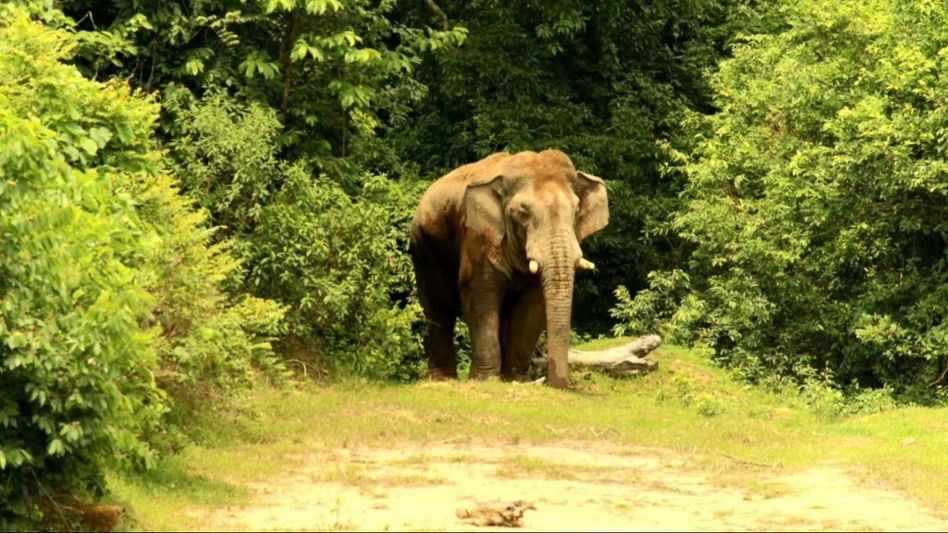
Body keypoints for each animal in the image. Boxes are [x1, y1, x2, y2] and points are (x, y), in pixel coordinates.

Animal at [409, 149, 608, 388]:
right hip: (424, 242)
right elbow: (480, 295)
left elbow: (532, 305)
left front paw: (516, 380)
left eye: (576, 211)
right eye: (522, 213)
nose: (558, 385)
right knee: (439, 302)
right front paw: (485, 380)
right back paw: (442, 380)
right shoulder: (478, 237)